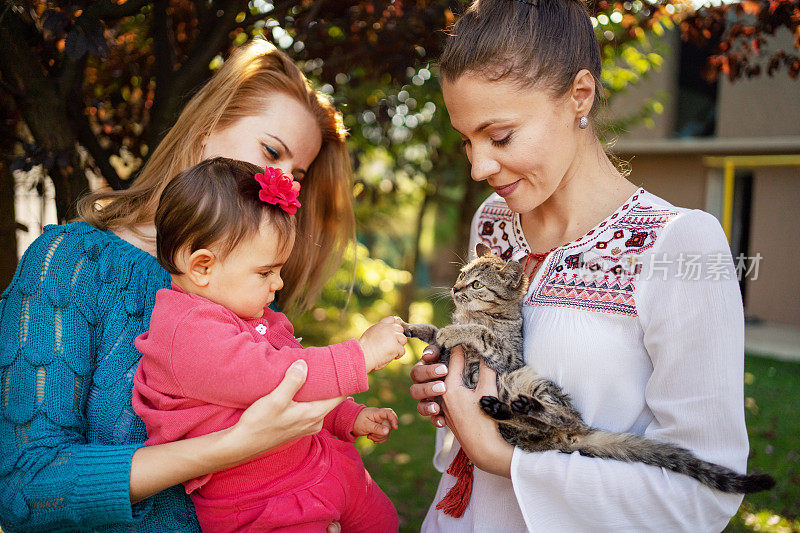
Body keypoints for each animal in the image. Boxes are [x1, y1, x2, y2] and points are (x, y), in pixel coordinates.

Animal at [404, 243, 772, 492]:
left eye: (477, 284)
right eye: (461, 275)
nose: (455, 288)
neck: (478, 313)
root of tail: (576, 438)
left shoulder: (508, 356)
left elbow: (477, 333)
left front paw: (457, 335)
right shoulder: (446, 356)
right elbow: (434, 336)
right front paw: (411, 327)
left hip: (529, 381)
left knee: (563, 419)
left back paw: (524, 406)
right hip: (522, 425)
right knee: (536, 429)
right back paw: (503, 408)